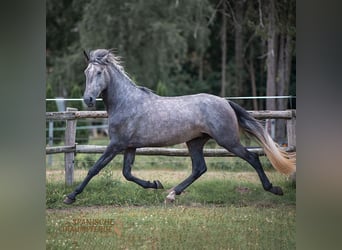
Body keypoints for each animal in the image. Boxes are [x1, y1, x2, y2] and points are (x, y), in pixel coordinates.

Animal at [62, 49, 296, 205]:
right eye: (86, 72)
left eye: (99, 73)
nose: (88, 99)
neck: (126, 102)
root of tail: (225, 102)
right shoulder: (129, 146)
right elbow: (127, 173)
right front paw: (155, 184)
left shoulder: (116, 144)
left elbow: (95, 168)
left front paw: (71, 196)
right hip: (195, 142)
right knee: (199, 168)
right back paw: (172, 193)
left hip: (227, 140)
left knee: (253, 158)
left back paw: (274, 189)